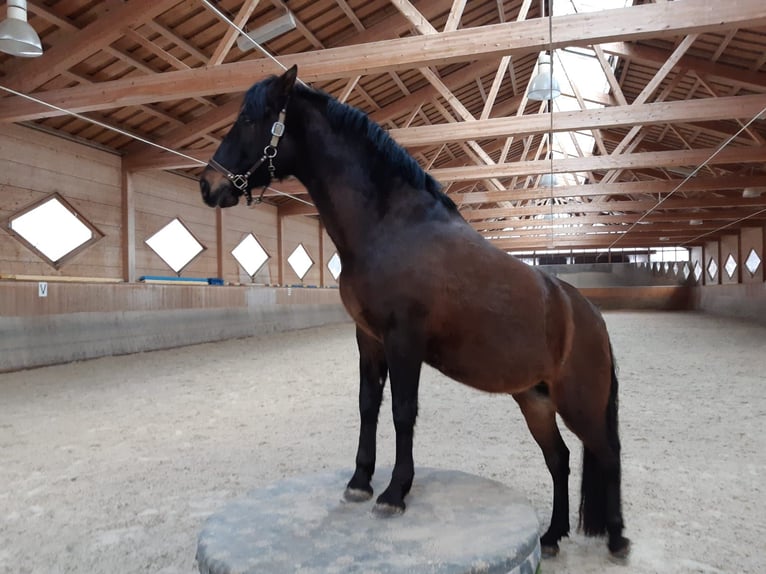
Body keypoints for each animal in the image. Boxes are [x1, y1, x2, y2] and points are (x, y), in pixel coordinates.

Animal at [201, 64, 632, 564]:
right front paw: (359, 482)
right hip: (535, 400)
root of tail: (589, 316)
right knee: (559, 460)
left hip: (579, 403)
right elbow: (369, 405)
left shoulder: (403, 339)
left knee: (607, 454)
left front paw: (394, 493)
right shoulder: (368, 339)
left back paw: (618, 539)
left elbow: (402, 412)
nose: (207, 185)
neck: (390, 227)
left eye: (251, 120)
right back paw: (552, 535)